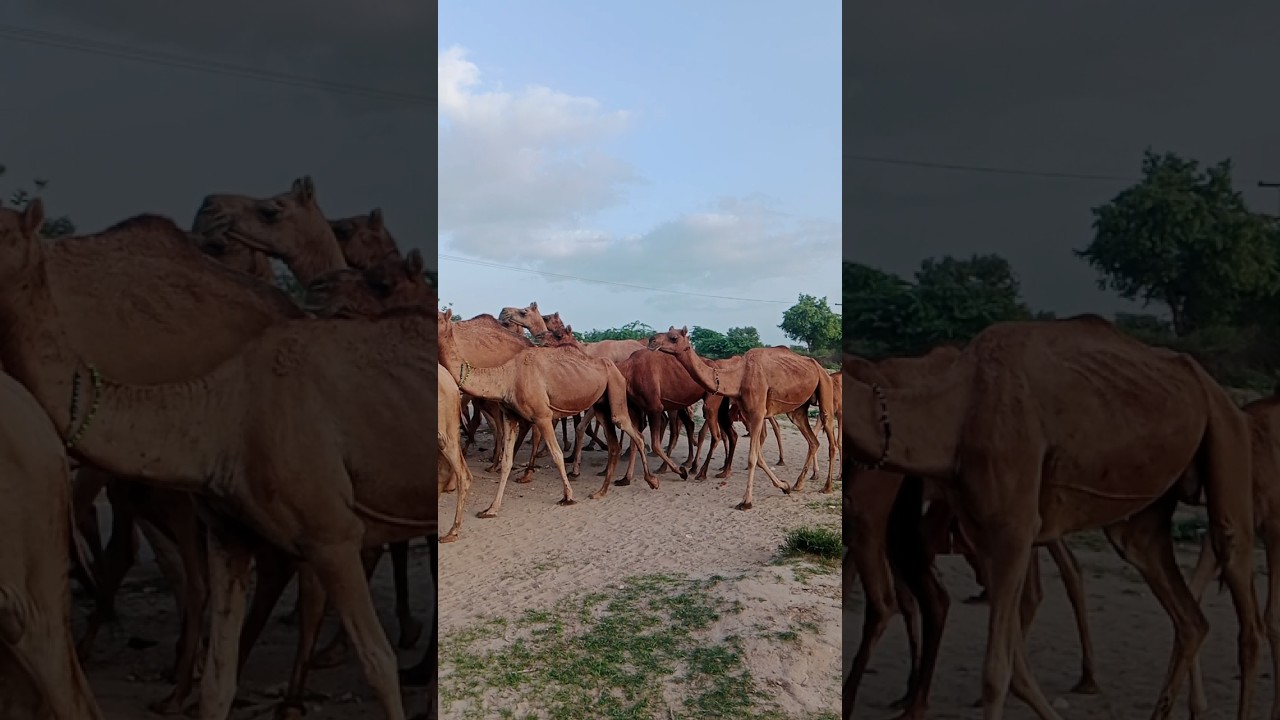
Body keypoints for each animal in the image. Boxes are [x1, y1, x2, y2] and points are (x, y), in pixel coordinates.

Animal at [438, 308, 654, 516]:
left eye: (439, 318)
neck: (508, 376)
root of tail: (614, 366)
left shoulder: (543, 416)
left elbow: (556, 454)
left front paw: (568, 496)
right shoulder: (510, 416)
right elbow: (507, 461)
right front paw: (491, 509)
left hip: (616, 388)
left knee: (633, 431)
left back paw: (650, 480)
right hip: (601, 405)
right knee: (614, 445)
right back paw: (601, 491)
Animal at [649, 327, 837, 508]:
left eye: (674, 337)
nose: (652, 340)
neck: (739, 377)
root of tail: (821, 368)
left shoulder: (758, 413)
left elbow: (752, 457)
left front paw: (746, 501)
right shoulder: (750, 414)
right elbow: (759, 457)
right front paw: (784, 486)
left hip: (825, 387)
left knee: (830, 437)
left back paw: (827, 487)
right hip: (798, 410)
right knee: (813, 441)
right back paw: (798, 484)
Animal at [841, 316, 1261, 720]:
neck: (954, 417)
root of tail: (1218, 390)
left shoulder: (1013, 529)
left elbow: (996, 672)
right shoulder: (983, 534)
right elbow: (1016, 669)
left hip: (1227, 434)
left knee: (1243, 605)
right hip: (1143, 515)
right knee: (1188, 616)